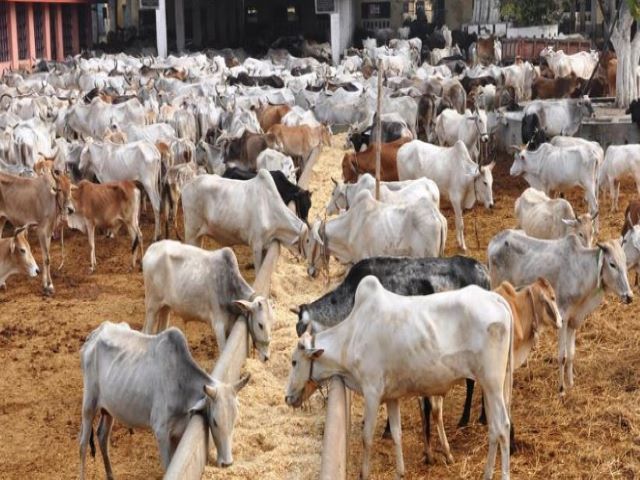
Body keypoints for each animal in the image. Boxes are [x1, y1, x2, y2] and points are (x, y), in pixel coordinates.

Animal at [78, 322, 251, 479]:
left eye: (235, 419)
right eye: (214, 421)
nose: (227, 463)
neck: (181, 383)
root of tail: (95, 333)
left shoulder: (179, 432)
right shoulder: (161, 431)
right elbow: (168, 467)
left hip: (109, 409)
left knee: (102, 437)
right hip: (89, 404)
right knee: (82, 444)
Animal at [142, 242, 272, 360]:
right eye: (260, 325)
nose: (266, 357)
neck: (228, 285)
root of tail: (151, 248)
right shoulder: (219, 326)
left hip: (165, 306)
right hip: (152, 306)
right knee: (146, 332)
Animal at [285, 279, 513, 480]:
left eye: (294, 362)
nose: (288, 397)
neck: (352, 336)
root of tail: (495, 298)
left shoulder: (372, 392)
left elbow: (367, 437)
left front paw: (364, 473)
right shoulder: (391, 397)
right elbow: (396, 434)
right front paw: (400, 472)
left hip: (492, 382)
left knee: (503, 426)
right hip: (491, 386)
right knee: (494, 428)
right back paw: (487, 474)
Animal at [488, 230, 632, 394]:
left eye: (625, 262)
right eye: (612, 264)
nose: (629, 296)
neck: (581, 270)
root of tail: (496, 239)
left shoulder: (574, 320)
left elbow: (571, 354)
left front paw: (571, 383)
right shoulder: (562, 318)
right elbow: (562, 356)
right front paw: (561, 389)